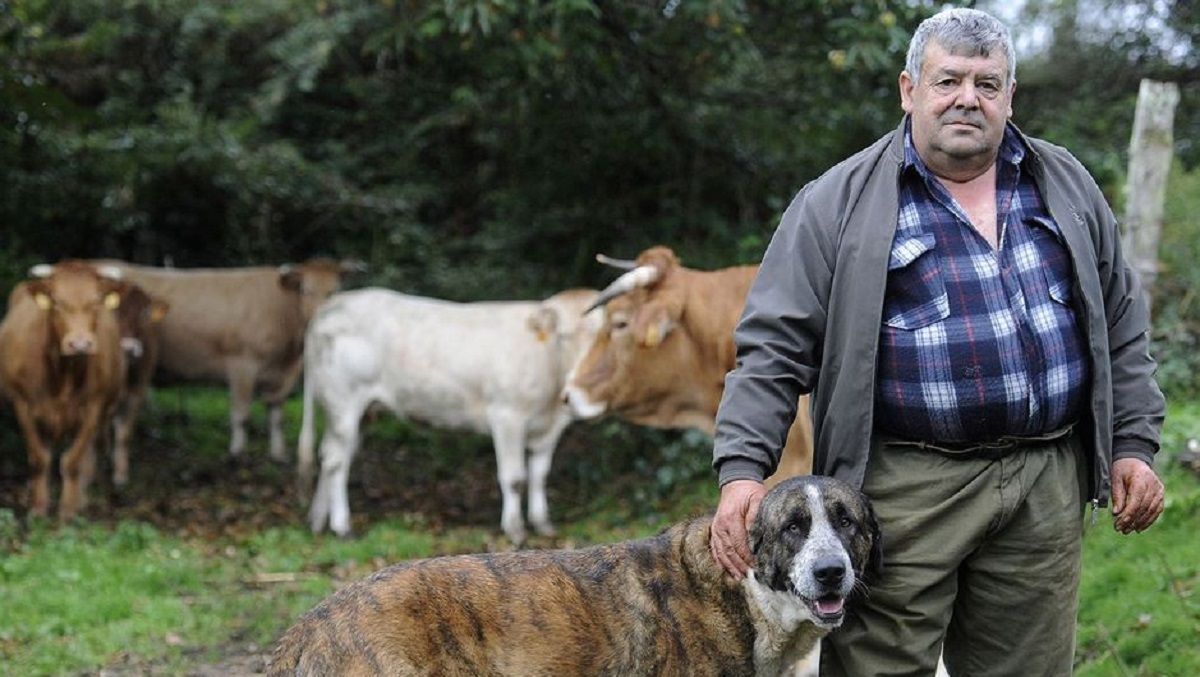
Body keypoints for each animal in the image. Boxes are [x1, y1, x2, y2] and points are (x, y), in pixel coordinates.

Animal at [0, 261, 129, 520]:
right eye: (58, 302)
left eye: (96, 301)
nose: (79, 344)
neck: (64, 375)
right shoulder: (22, 405)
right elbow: (39, 458)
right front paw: (38, 509)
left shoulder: (94, 408)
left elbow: (73, 461)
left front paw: (68, 512)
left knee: (91, 455)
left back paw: (81, 499)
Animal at [106, 258, 360, 460]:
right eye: (306, 290)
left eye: (334, 290)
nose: (321, 317)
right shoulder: (242, 364)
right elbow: (242, 414)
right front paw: (237, 453)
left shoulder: (282, 377)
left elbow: (276, 416)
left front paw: (278, 455)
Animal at [297, 285, 600, 544]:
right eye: (564, 335)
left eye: (603, 334)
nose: (584, 372)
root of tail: (334, 304)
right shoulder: (507, 416)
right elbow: (514, 478)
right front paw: (515, 530)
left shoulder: (550, 428)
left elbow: (539, 474)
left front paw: (542, 523)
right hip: (344, 403)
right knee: (336, 460)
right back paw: (341, 526)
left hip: (359, 413)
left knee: (331, 454)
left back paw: (317, 520)